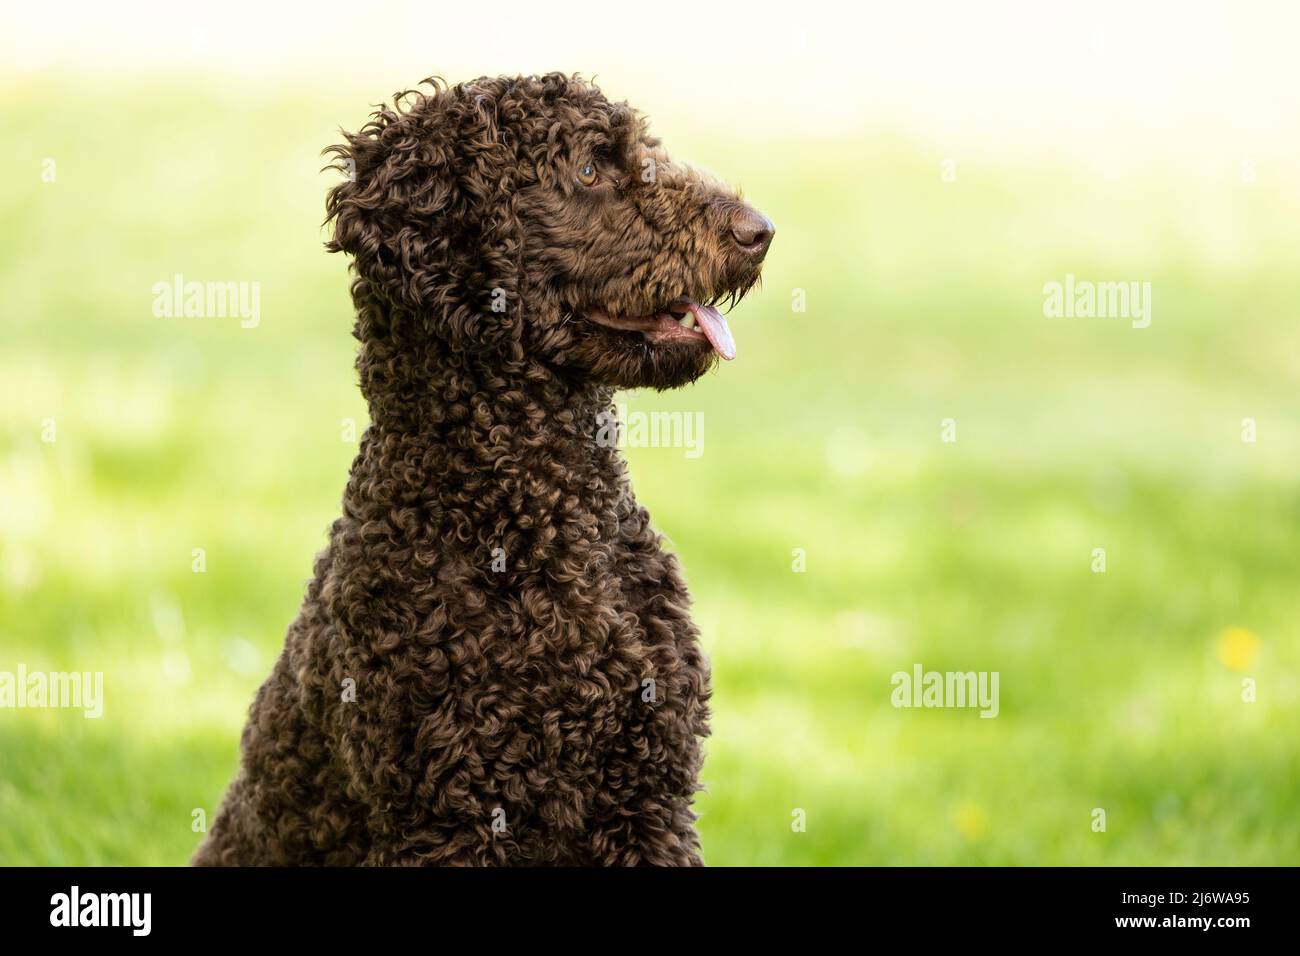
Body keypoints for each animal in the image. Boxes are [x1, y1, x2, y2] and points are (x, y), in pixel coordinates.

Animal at [192, 74, 769, 868]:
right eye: (588, 169)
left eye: (645, 149)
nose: (760, 230)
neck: (541, 517)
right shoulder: (450, 817)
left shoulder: (650, 801)